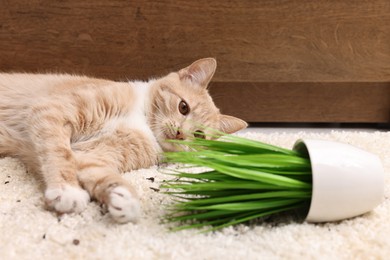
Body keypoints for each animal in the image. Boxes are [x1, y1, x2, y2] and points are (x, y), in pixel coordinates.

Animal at [0, 58, 248, 223]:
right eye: (183, 107)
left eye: (198, 136)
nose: (179, 133)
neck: (142, 121)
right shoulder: (51, 111)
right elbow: (60, 153)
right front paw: (67, 190)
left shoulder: (91, 156)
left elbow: (99, 172)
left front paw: (124, 197)